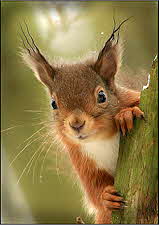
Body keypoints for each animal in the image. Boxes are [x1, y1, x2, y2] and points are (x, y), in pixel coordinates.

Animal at [20, 20, 144, 223]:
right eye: (53, 104)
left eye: (102, 96)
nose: (76, 124)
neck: (102, 138)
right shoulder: (83, 163)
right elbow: (94, 192)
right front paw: (105, 196)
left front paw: (127, 114)